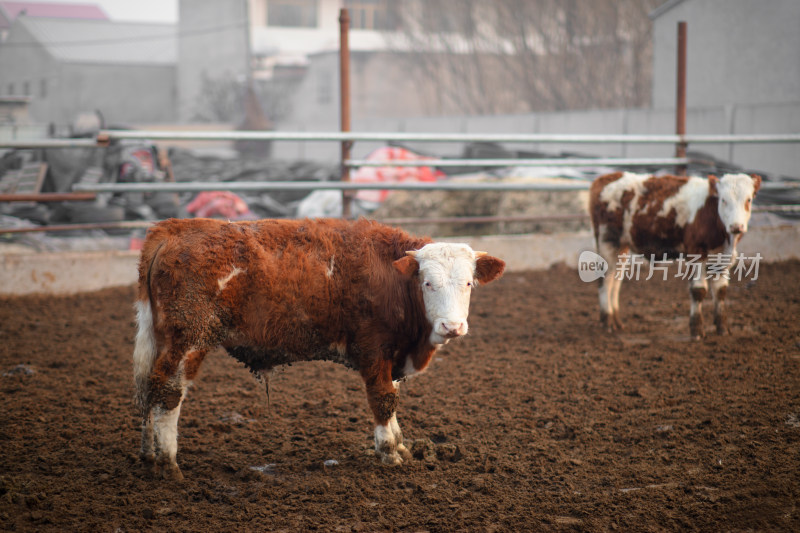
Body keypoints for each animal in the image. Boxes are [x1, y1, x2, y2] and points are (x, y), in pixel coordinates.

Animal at [134, 215, 504, 478]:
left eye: (468, 282)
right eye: (427, 283)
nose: (452, 327)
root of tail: (174, 229)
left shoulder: (393, 355)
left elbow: (393, 400)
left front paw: (400, 445)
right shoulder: (374, 350)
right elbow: (383, 399)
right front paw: (389, 452)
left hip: (161, 337)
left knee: (148, 388)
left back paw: (149, 457)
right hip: (190, 338)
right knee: (169, 391)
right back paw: (168, 464)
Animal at [592, 172, 760, 338]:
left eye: (748, 199)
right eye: (724, 200)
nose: (736, 226)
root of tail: (608, 177)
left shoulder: (723, 255)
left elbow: (720, 291)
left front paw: (723, 328)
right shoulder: (696, 252)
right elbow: (698, 290)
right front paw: (696, 330)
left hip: (621, 247)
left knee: (616, 280)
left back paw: (616, 321)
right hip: (607, 242)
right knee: (606, 280)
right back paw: (608, 321)